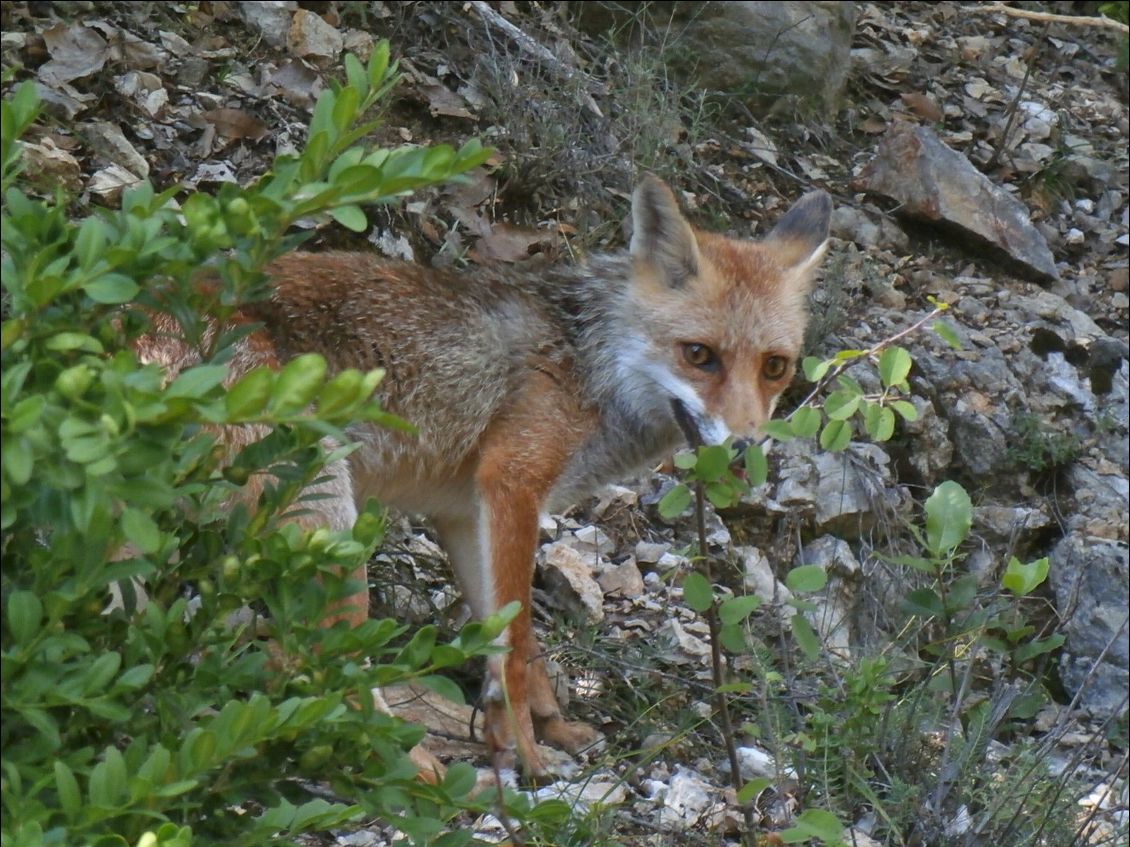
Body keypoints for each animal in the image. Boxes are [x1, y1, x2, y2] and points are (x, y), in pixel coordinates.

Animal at [136, 176, 836, 786]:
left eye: (775, 367)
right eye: (699, 356)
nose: (745, 447)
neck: (592, 362)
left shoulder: (463, 511)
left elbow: (512, 648)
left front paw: (548, 728)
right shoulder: (513, 483)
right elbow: (519, 639)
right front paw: (527, 756)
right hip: (330, 521)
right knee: (313, 659)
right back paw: (403, 761)